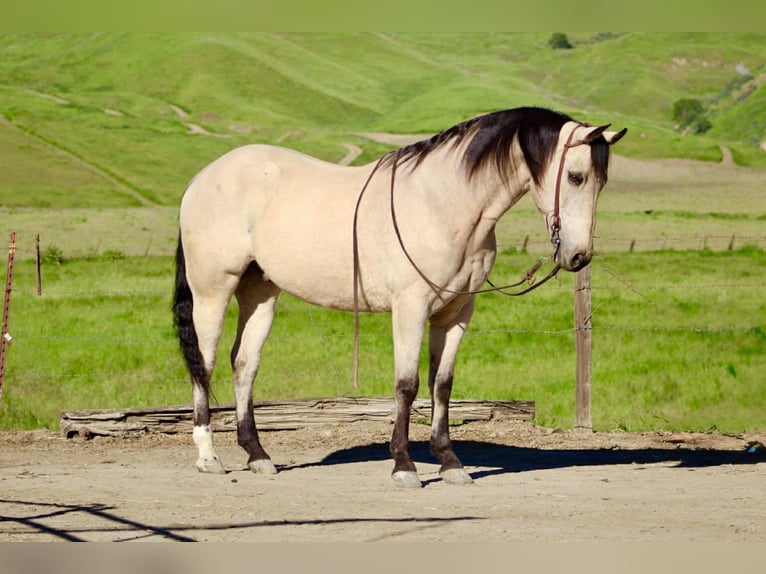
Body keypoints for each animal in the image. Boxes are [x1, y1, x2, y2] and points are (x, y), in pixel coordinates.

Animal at [173, 106, 626, 488]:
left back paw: (258, 455)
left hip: (260, 293)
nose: (579, 256)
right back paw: (208, 457)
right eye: (576, 176)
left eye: (602, 181)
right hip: (213, 291)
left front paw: (450, 463)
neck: (443, 204)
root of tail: (201, 179)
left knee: (244, 365)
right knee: (204, 365)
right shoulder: (411, 308)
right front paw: (404, 466)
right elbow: (407, 385)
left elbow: (442, 385)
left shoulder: (456, 313)